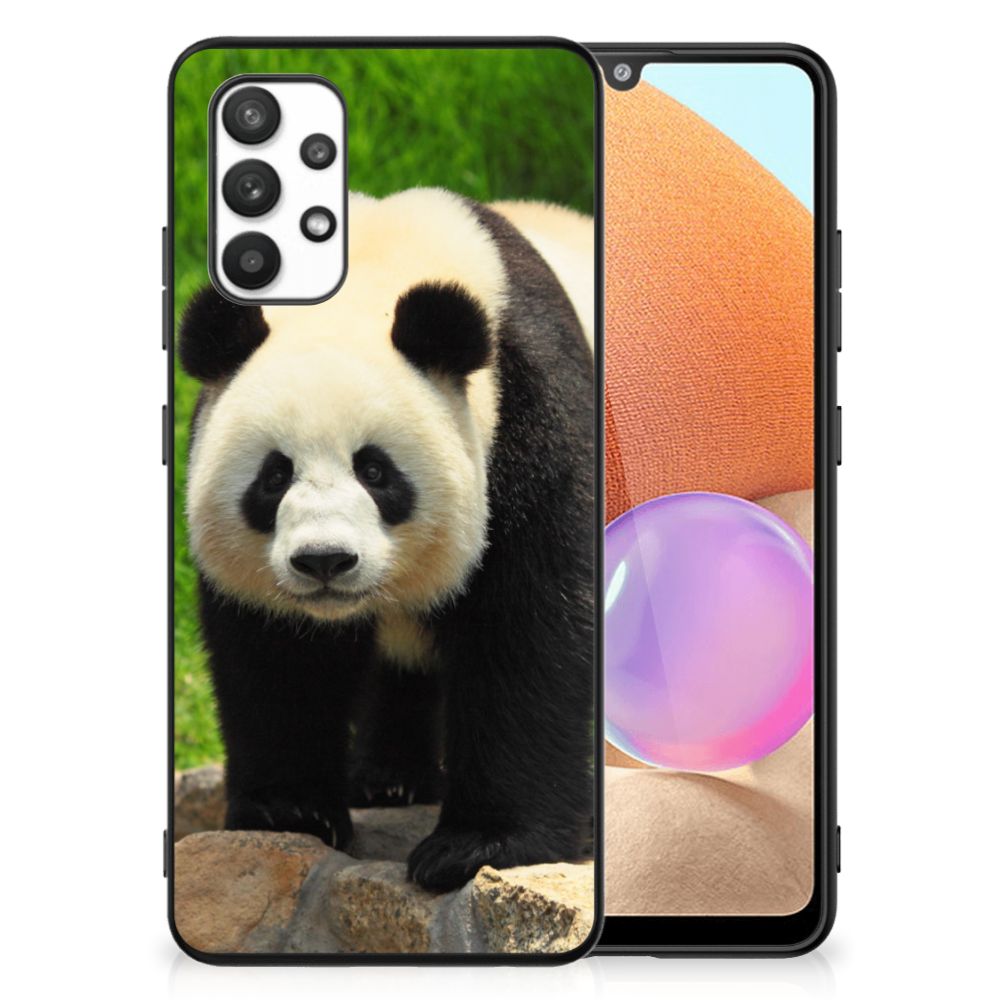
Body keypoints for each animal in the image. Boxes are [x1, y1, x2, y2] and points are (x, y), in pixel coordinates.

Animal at [179, 188, 595, 892]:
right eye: (273, 476)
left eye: (374, 471)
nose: (324, 561)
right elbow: (276, 656)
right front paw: (290, 812)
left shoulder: (532, 419)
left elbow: (530, 630)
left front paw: (477, 845)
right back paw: (389, 780)